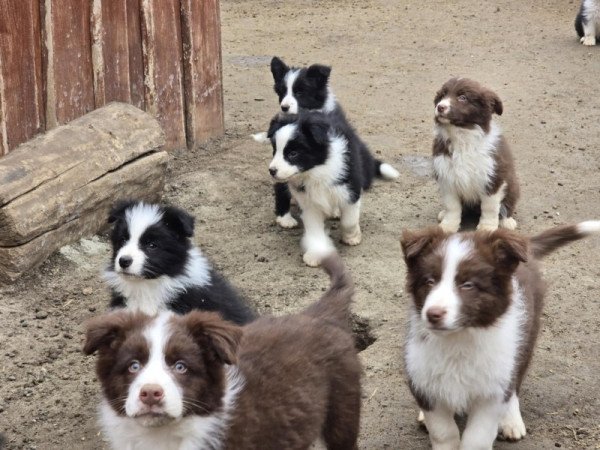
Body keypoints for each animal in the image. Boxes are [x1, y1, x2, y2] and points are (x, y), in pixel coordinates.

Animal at [84, 253, 360, 450]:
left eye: (181, 366)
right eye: (133, 365)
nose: (151, 393)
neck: (161, 436)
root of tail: (317, 313)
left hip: (343, 410)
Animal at [268, 111, 398, 268]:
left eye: (293, 153)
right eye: (275, 150)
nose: (271, 170)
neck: (316, 171)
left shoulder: (350, 189)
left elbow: (349, 220)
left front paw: (352, 237)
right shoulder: (309, 202)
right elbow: (314, 228)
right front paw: (315, 254)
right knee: (281, 190)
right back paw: (285, 219)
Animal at [398, 220, 600, 448]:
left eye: (468, 285)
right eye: (429, 281)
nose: (433, 314)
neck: (459, 340)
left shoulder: (492, 394)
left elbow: (477, 438)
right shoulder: (422, 378)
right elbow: (444, 432)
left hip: (525, 340)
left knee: (514, 385)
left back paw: (511, 420)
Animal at [432, 78, 520, 234]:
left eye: (463, 97)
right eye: (442, 96)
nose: (440, 107)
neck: (462, 135)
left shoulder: (493, 177)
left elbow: (490, 206)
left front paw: (487, 228)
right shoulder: (446, 176)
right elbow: (452, 206)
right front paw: (448, 226)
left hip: (512, 185)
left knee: (507, 205)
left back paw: (507, 221)